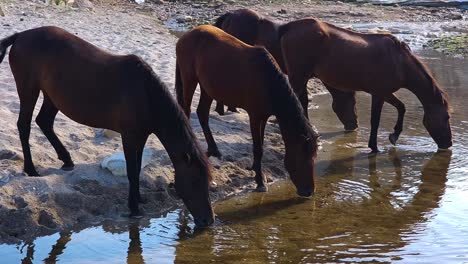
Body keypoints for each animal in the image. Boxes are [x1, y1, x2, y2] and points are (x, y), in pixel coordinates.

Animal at [0, 25, 215, 226]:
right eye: (195, 181)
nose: (208, 221)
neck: (146, 94)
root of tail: (21, 36)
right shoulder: (128, 136)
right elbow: (131, 171)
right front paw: (133, 208)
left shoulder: (141, 137)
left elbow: (137, 169)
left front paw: (139, 199)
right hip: (28, 89)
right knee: (24, 125)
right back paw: (31, 169)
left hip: (51, 97)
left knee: (44, 122)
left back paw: (67, 159)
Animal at [176, 25, 318, 196]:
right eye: (302, 157)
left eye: (314, 157)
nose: (309, 191)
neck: (267, 81)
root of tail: (186, 36)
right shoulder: (255, 116)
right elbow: (258, 148)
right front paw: (260, 181)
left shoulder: (264, 116)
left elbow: (260, 146)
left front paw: (257, 170)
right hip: (189, 79)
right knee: (186, 110)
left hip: (207, 88)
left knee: (202, 113)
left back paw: (214, 149)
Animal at [213, 9, 358, 131]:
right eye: (352, 102)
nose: (354, 126)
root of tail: (231, 15)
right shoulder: (299, 76)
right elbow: (301, 99)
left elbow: (303, 100)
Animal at [278, 18, 454, 152]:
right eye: (446, 117)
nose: (449, 144)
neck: (399, 62)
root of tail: (290, 27)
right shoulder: (378, 94)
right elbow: (375, 120)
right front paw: (374, 147)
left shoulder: (385, 93)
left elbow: (401, 107)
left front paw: (394, 136)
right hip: (299, 76)